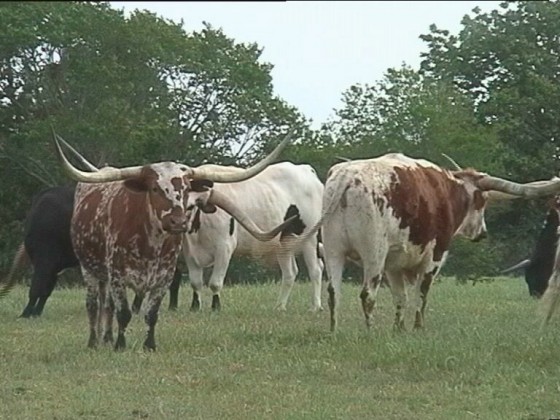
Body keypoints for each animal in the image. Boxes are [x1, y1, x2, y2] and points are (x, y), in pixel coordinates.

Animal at [0, 185, 182, 316]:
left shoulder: (45, 259)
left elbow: (37, 288)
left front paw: (26, 314)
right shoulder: (53, 265)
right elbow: (45, 290)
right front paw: (35, 313)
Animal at [54, 133, 296, 350]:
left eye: (186, 189)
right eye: (154, 188)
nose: (178, 221)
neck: (151, 243)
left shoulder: (164, 275)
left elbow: (152, 314)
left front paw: (149, 345)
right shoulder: (118, 275)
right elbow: (123, 313)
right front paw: (120, 346)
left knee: (107, 306)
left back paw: (106, 338)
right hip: (90, 270)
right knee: (94, 305)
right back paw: (94, 342)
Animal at [184, 161, 324, 312]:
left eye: (190, 205)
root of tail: (305, 169)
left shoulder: (224, 247)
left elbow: (215, 283)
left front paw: (216, 307)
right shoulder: (190, 252)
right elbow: (196, 283)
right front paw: (195, 307)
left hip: (310, 237)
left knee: (315, 269)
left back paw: (315, 306)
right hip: (283, 242)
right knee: (290, 272)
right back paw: (280, 306)